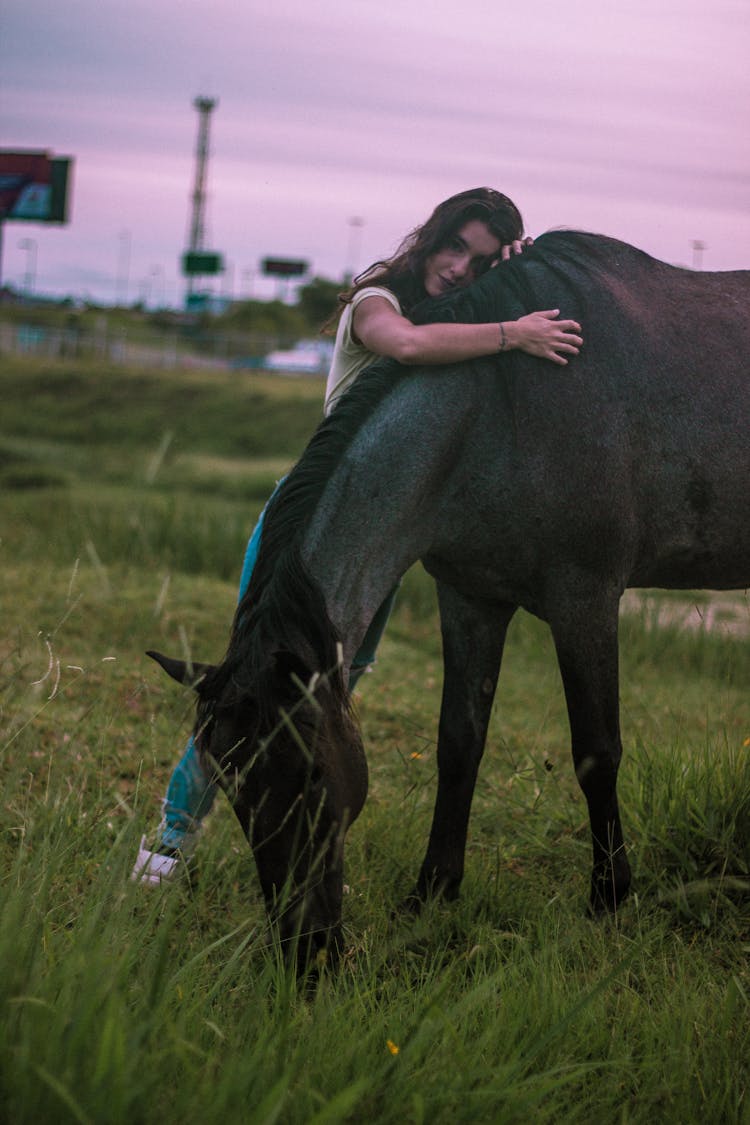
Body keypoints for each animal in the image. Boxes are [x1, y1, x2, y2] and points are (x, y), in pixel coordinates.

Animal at [148, 230, 750, 967]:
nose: (307, 951)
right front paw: (431, 893)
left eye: (314, 777)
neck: (500, 412)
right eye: (230, 786)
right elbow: (459, 742)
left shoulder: (585, 599)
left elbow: (596, 750)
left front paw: (609, 900)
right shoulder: (469, 597)